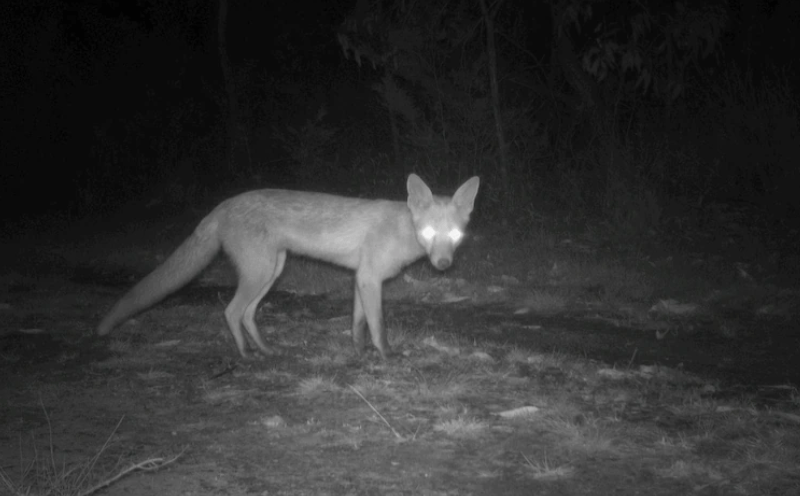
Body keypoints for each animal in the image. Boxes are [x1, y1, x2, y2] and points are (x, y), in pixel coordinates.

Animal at [97, 174, 480, 359]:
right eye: (428, 233)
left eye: (454, 234)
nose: (443, 264)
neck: (402, 229)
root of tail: (223, 205)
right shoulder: (370, 279)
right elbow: (378, 326)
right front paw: (386, 356)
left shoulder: (360, 278)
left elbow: (358, 324)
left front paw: (358, 352)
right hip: (260, 272)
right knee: (231, 311)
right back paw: (245, 355)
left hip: (271, 272)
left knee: (247, 313)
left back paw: (265, 349)